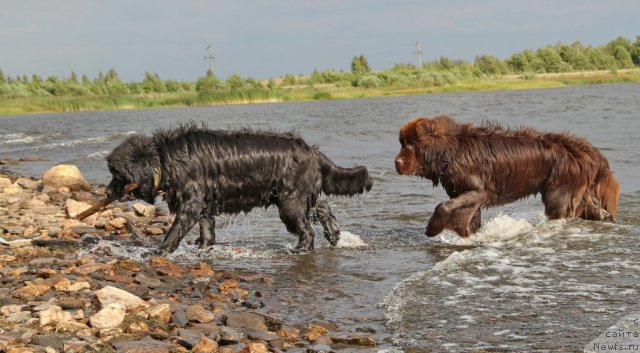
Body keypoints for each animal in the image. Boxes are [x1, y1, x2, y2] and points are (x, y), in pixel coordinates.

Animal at [105, 122, 372, 252]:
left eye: (116, 174)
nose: (106, 192)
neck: (166, 158)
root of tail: (312, 151)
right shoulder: (205, 206)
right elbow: (206, 229)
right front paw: (203, 247)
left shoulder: (191, 204)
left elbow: (175, 231)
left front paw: (158, 252)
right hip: (300, 198)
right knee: (323, 209)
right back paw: (334, 235)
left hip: (290, 202)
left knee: (307, 230)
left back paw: (301, 249)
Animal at [396, 115, 620, 236]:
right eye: (402, 143)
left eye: (409, 145)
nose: (396, 163)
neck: (450, 151)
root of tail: (584, 150)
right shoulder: (462, 192)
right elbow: (470, 217)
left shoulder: (478, 190)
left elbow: (444, 206)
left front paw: (432, 229)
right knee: (596, 211)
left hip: (560, 191)